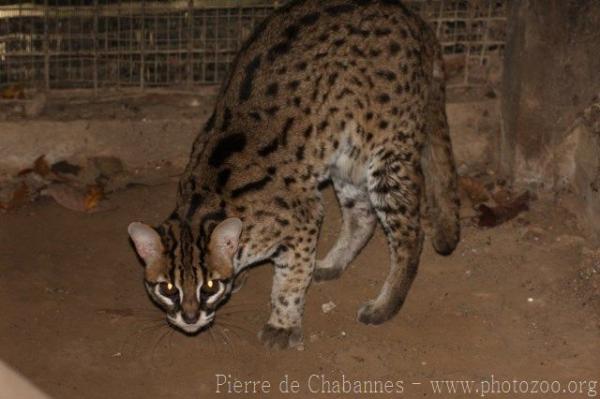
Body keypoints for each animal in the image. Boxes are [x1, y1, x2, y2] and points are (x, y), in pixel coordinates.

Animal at [130, 0, 460, 350]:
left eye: (209, 287)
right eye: (167, 289)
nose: (189, 319)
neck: (201, 205)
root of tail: (410, 15)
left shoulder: (305, 214)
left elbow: (290, 277)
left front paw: (282, 323)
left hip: (387, 151)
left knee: (411, 233)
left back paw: (386, 303)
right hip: (346, 156)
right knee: (363, 215)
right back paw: (332, 263)